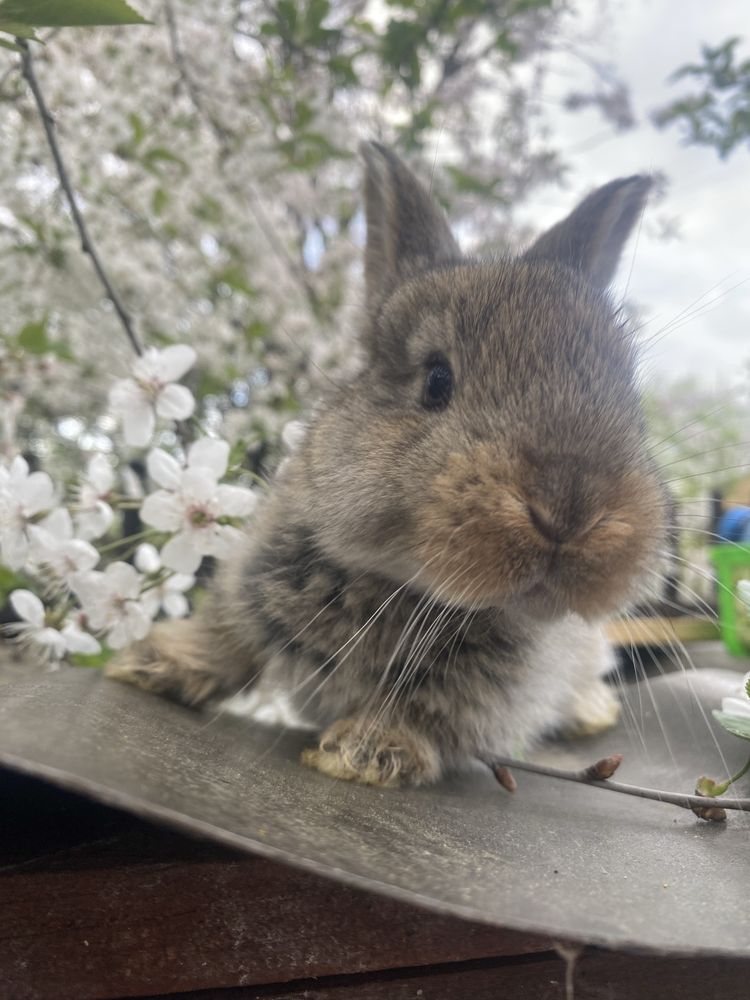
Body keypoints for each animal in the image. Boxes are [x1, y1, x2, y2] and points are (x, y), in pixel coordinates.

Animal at [107, 143, 668, 788]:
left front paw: (366, 752)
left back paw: (590, 711)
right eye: (436, 380)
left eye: (628, 399)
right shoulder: (247, 584)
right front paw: (151, 662)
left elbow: (421, 709)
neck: (398, 583)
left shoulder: (481, 689)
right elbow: (227, 639)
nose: (568, 509)